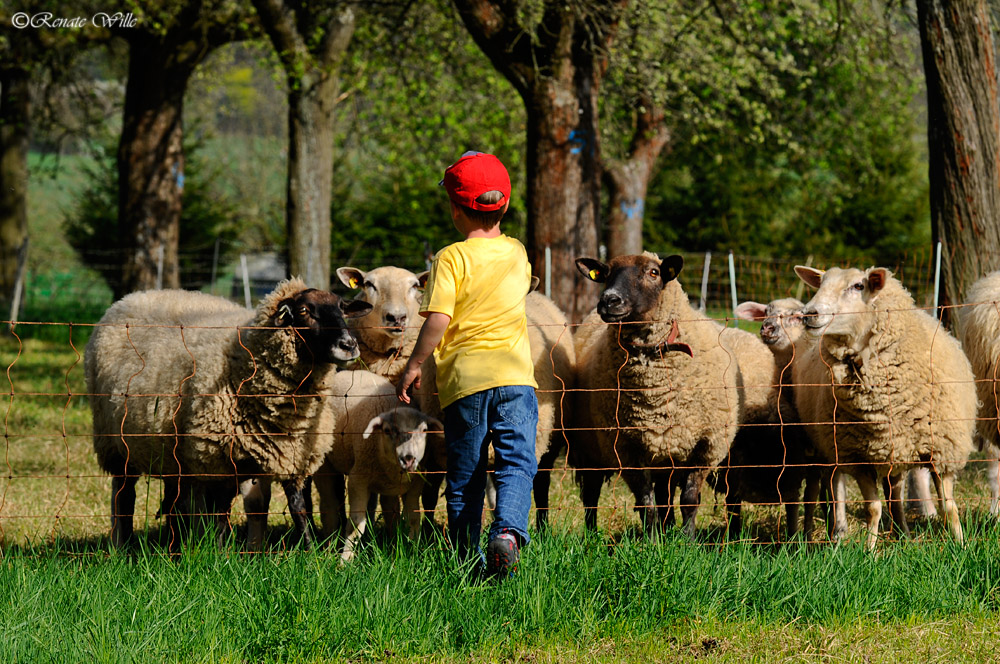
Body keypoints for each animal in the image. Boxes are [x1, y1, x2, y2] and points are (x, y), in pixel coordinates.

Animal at [310, 368, 440, 560]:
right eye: (387, 430)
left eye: (424, 430)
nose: (408, 458)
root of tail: (345, 371)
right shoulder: (358, 480)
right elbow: (356, 525)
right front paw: (345, 559)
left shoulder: (415, 485)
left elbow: (413, 519)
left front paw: (412, 551)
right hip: (325, 464)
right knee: (329, 505)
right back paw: (329, 545)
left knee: (388, 508)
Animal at [572, 252, 744, 536]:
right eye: (606, 273)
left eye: (653, 272)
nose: (609, 301)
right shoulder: (625, 447)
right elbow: (645, 502)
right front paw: (652, 541)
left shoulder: (707, 444)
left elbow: (689, 499)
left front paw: (687, 539)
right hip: (590, 448)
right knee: (591, 494)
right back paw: (591, 533)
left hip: (666, 452)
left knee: (665, 493)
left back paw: (669, 528)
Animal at [788, 264, 976, 548]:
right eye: (820, 284)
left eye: (858, 286)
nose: (809, 314)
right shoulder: (858, 457)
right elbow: (873, 508)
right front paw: (869, 550)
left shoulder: (942, 449)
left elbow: (949, 506)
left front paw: (961, 545)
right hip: (839, 448)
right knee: (835, 490)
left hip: (896, 450)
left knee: (894, 493)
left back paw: (904, 535)